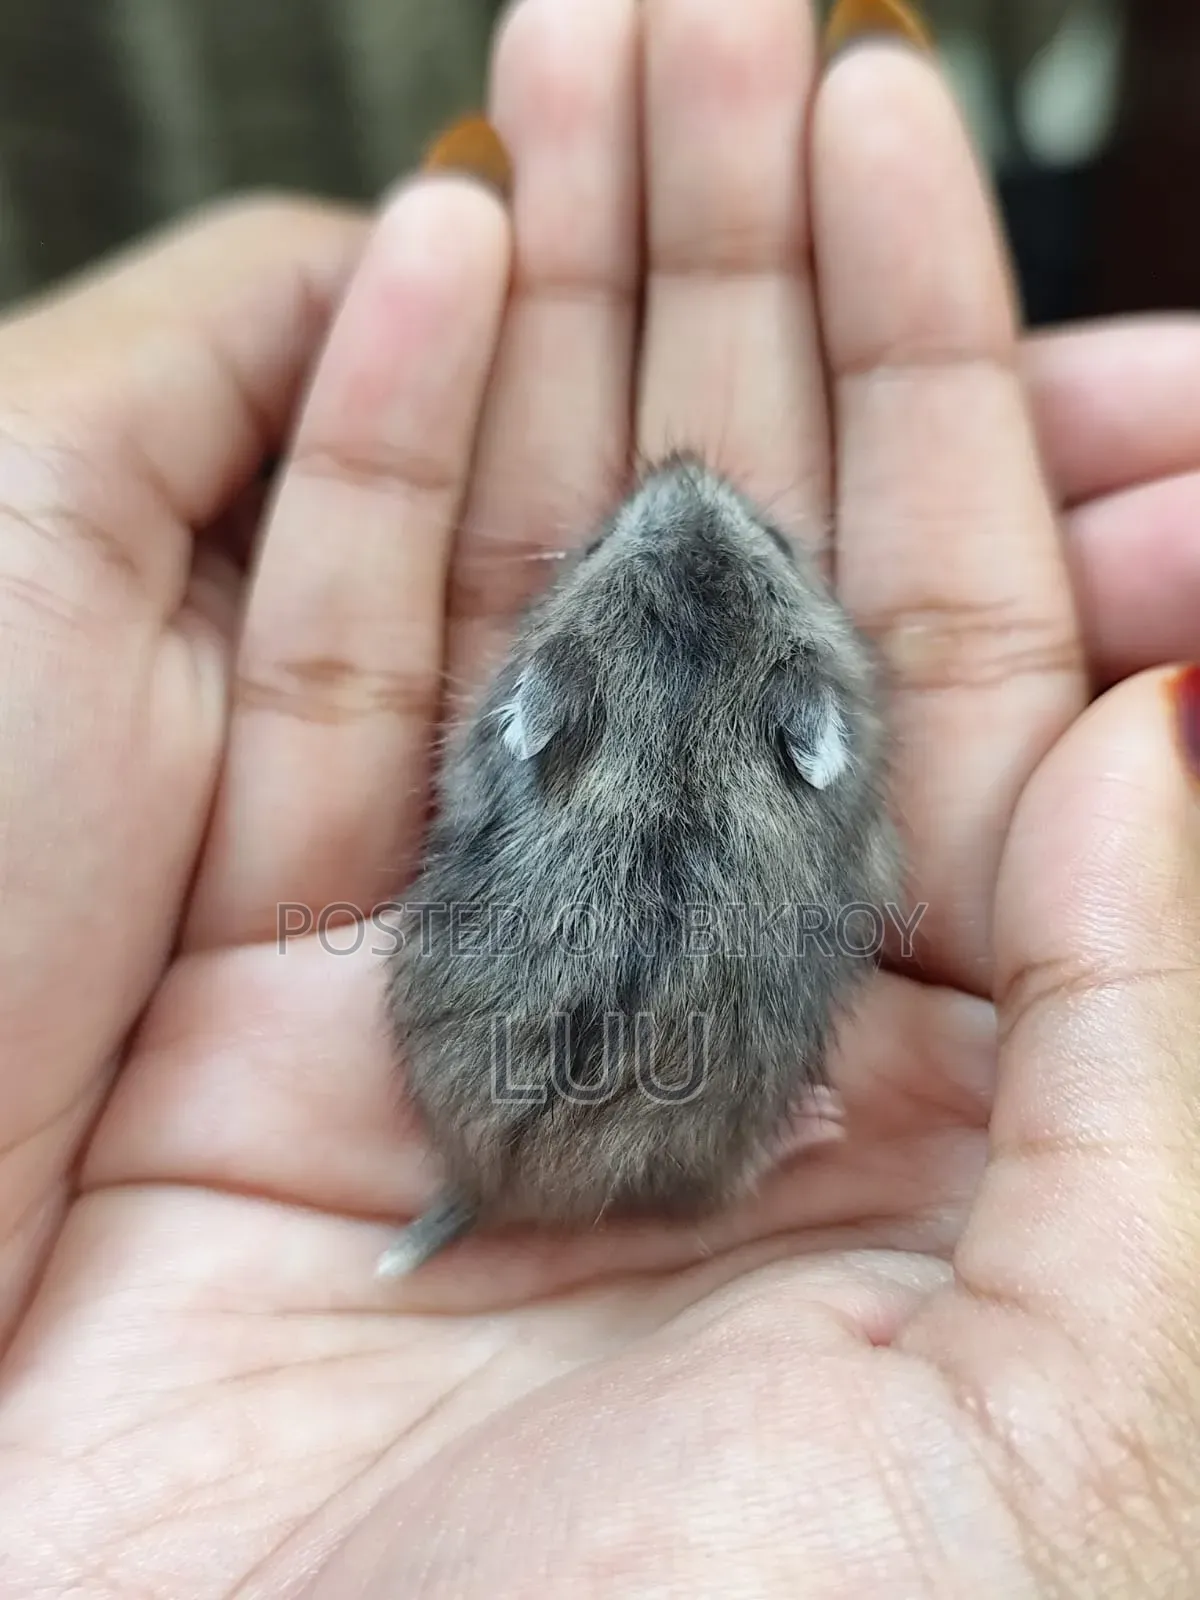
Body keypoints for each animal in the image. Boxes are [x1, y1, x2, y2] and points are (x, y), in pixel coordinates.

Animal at [377, 452, 899, 1277]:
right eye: (594, 545)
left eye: (781, 542)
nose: (682, 462)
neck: (677, 734)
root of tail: (492, 1182)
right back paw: (817, 1122)